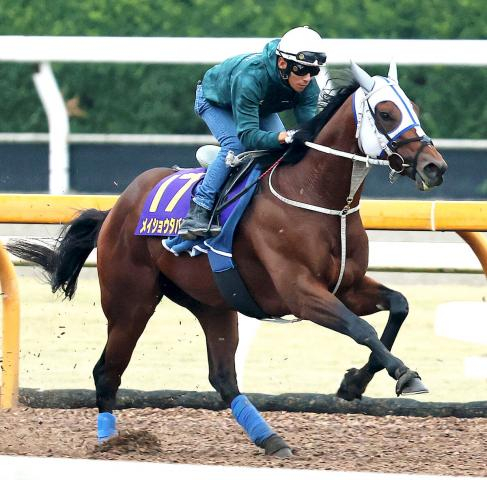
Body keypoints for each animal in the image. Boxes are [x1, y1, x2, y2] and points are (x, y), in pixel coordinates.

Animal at [9, 62, 448, 458]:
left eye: (414, 109)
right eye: (386, 113)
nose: (435, 166)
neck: (317, 197)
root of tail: (115, 209)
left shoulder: (349, 285)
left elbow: (399, 306)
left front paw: (355, 384)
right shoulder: (301, 293)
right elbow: (361, 329)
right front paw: (404, 375)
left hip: (214, 303)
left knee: (223, 377)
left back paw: (270, 439)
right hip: (130, 302)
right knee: (107, 370)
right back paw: (110, 442)